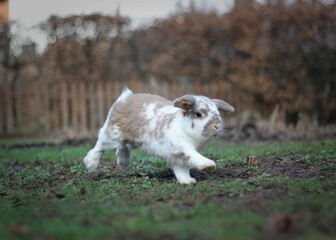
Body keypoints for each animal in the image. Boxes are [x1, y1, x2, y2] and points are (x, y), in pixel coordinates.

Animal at [84, 87, 234, 184]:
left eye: (218, 113)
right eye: (198, 114)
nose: (217, 126)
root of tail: (125, 98)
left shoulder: (177, 156)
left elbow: (182, 169)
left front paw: (187, 181)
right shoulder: (182, 147)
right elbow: (193, 156)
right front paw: (208, 165)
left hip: (133, 139)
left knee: (123, 145)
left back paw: (123, 160)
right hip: (112, 133)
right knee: (100, 147)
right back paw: (91, 164)